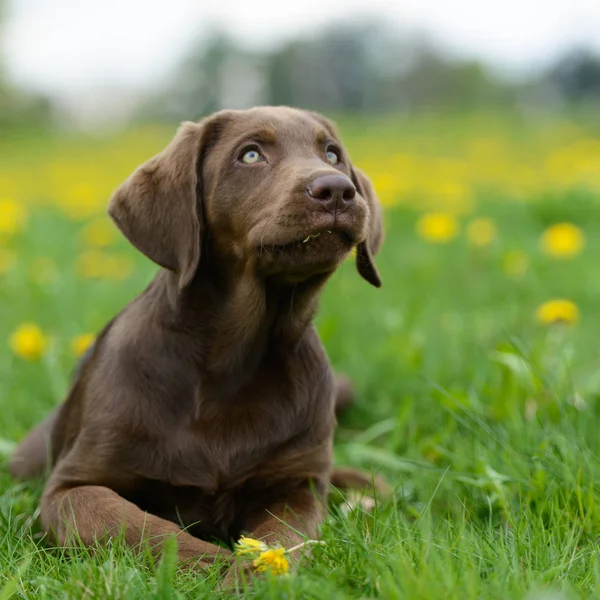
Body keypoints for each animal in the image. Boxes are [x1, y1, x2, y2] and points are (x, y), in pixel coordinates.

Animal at [9, 105, 382, 580]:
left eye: (332, 154)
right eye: (250, 155)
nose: (336, 189)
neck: (233, 359)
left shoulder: (297, 483)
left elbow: (282, 542)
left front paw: (253, 572)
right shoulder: (70, 488)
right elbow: (144, 529)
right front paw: (225, 570)